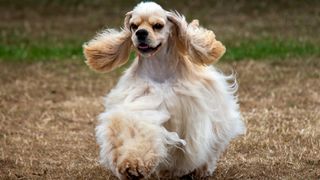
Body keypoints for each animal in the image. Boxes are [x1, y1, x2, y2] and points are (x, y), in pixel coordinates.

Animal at [82, 2, 245, 179]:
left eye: (158, 26)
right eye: (133, 26)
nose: (141, 33)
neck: (159, 69)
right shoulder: (141, 103)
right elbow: (136, 130)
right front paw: (132, 165)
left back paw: (200, 169)